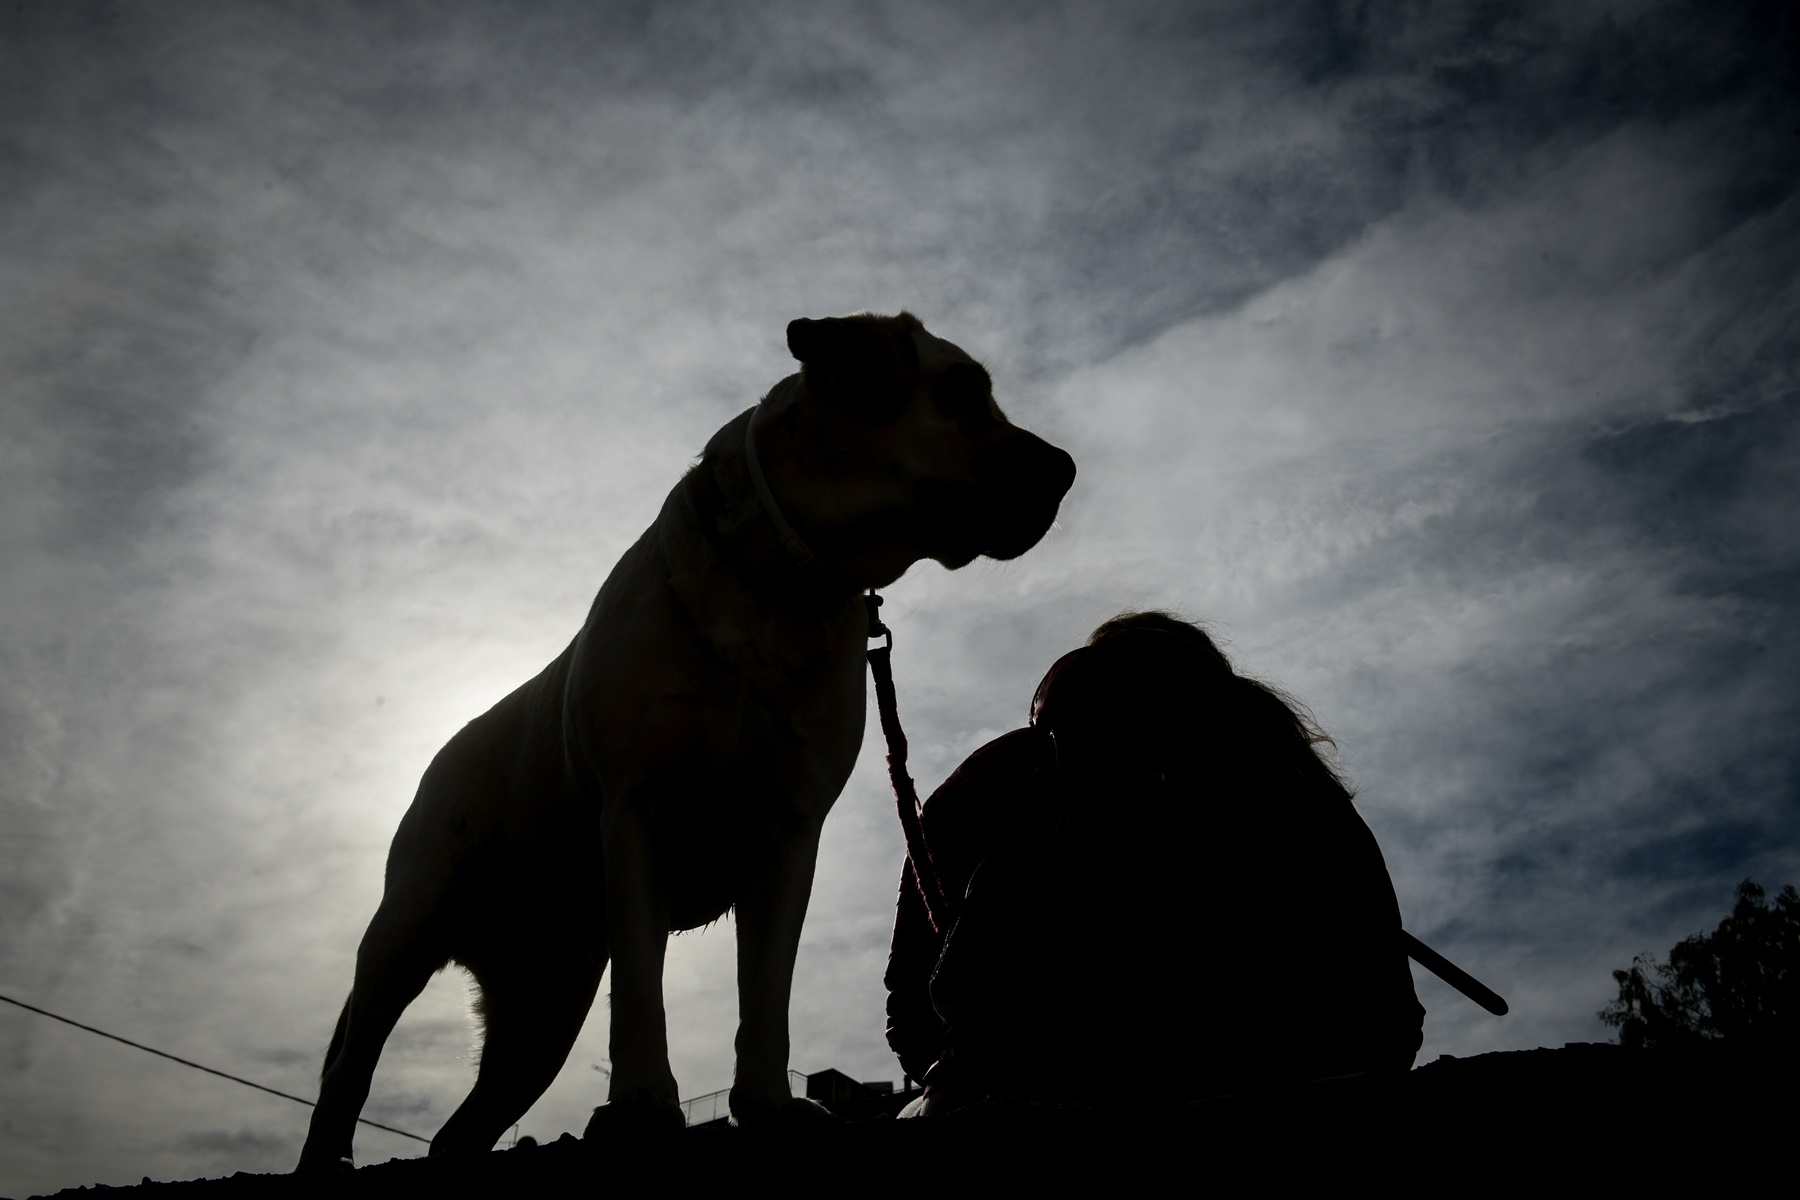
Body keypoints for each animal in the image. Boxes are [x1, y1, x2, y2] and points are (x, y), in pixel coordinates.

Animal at [300, 313, 1072, 1173]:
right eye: (962, 391)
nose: (1066, 469)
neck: (774, 586)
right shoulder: (638, 809)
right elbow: (643, 988)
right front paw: (641, 1107)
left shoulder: (787, 834)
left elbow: (765, 992)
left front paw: (768, 1107)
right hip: (408, 925)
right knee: (347, 1071)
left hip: (544, 1012)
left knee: (458, 1129)